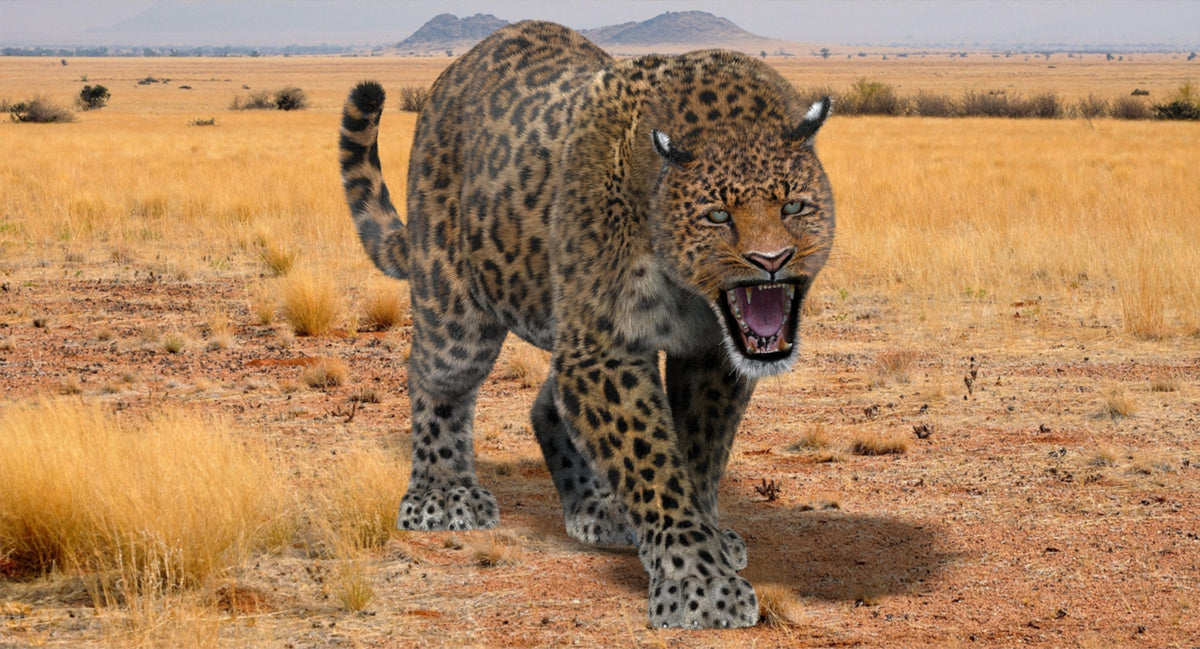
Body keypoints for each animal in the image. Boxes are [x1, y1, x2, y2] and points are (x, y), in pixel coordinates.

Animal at [339, 20, 834, 629]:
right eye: (717, 215)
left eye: (794, 207)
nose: (772, 260)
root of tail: (458, 68)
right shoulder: (605, 345)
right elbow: (650, 459)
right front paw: (698, 582)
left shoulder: (711, 353)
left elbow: (698, 451)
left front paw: (705, 542)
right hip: (455, 307)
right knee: (437, 382)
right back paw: (443, 495)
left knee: (547, 402)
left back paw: (599, 508)